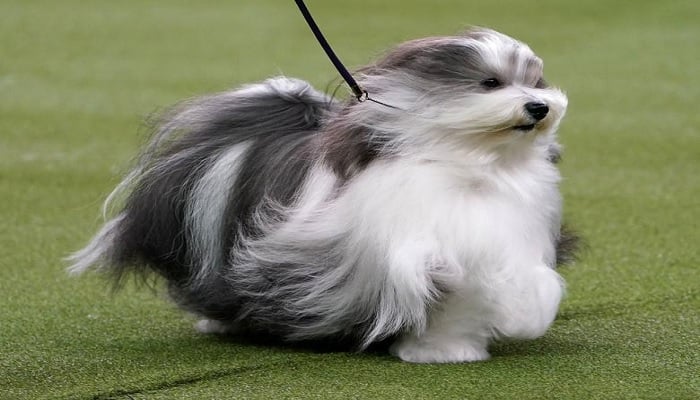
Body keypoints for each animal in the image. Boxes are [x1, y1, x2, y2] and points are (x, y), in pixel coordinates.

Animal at [68, 26, 576, 364]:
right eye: (490, 83)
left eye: (535, 82)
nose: (538, 106)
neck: (468, 166)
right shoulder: (373, 237)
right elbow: (418, 263)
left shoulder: (504, 239)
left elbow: (502, 290)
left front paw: (450, 349)